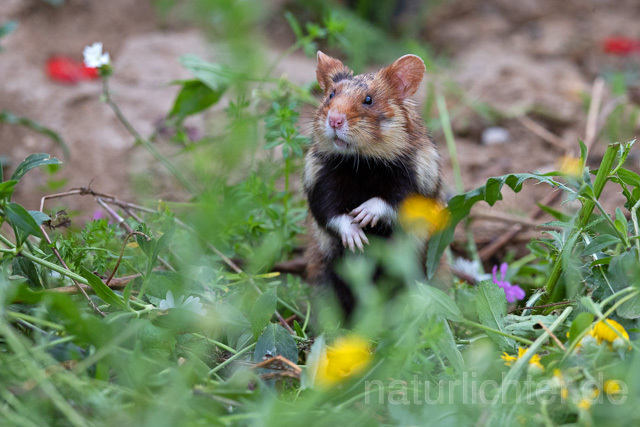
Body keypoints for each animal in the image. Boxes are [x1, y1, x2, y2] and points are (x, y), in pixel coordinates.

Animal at [304, 51, 440, 316]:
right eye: (331, 95)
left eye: (368, 100)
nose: (334, 120)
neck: (362, 162)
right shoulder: (322, 182)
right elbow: (331, 212)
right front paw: (357, 239)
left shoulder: (411, 182)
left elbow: (389, 201)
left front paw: (363, 215)